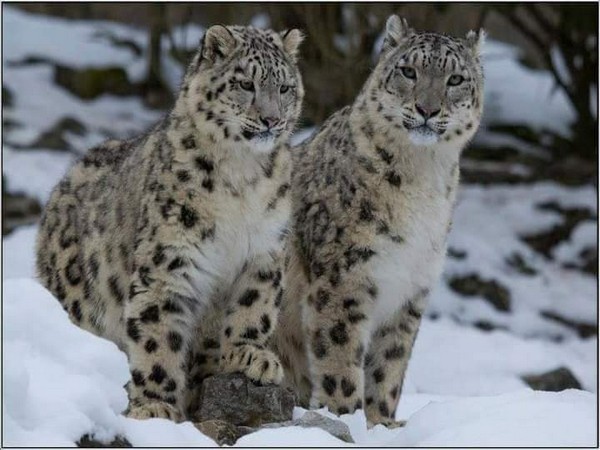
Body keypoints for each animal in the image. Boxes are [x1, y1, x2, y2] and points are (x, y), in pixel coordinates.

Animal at [36, 23, 304, 422]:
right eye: (246, 84)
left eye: (285, 88)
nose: (272, 119)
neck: (242, 177)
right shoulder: (169, 259)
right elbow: (157, 333)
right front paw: (153, 405)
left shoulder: (264, 250)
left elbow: (253, 306)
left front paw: (250, 355)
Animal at [270, 15, 486, 428]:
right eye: (408, 71)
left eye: (455, 79)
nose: (427, 109)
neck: (423, 178)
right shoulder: (343, 275)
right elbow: (340, 355)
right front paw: (345, 416)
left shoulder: (411, 288)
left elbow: (389, 366)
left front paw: (382, 424)